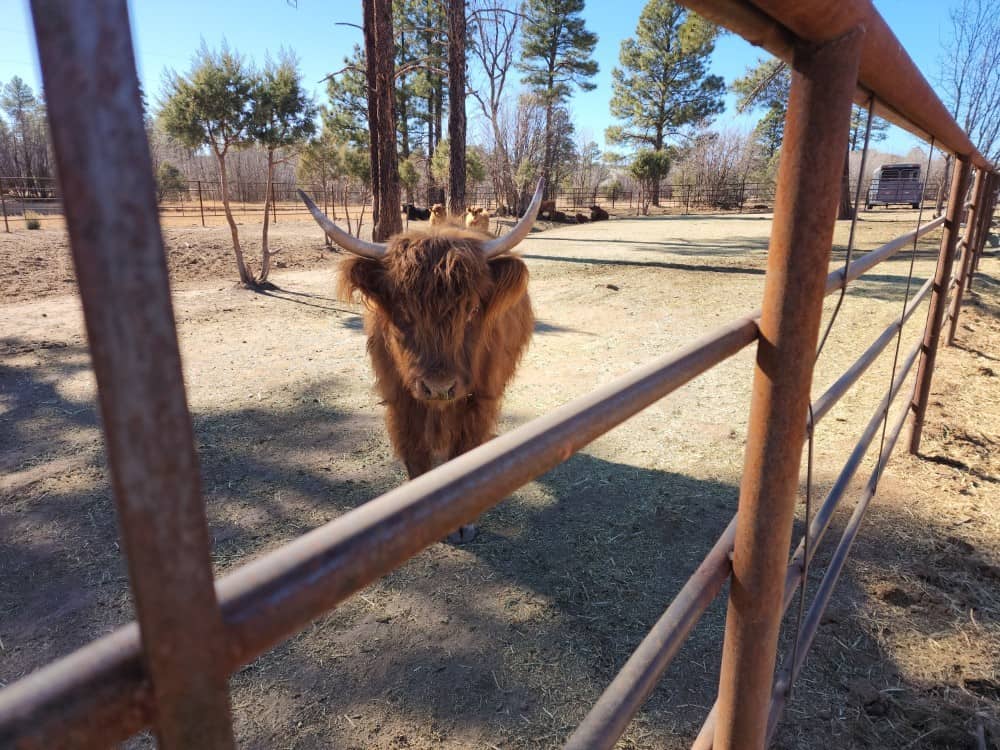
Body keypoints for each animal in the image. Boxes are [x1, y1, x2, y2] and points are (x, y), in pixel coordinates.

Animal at [299, 181, 543, 543]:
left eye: (472, 309)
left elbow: (465, 450)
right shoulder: (400, 396)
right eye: (402, 312)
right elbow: (414, 450)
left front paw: (463, 521)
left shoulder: (480, 398)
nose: (438, 387)